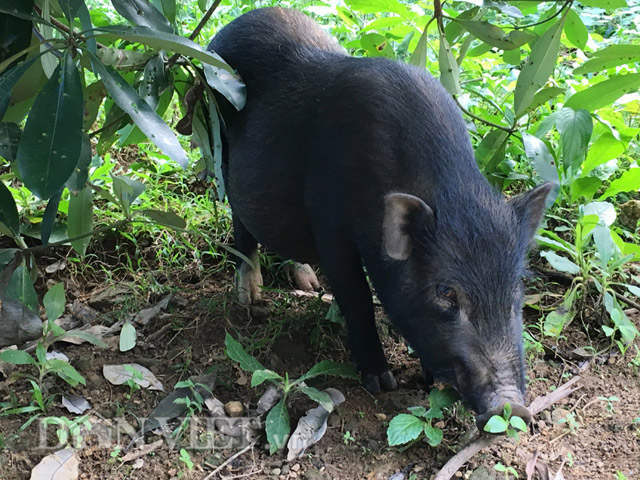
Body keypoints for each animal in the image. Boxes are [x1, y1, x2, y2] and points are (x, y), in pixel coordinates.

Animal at [209, 7, 552, 428]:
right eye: (446, 293)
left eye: (518, 286)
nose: (513, 407)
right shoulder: (328, 221)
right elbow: (356, 296)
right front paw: (381, 382)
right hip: (219, 141)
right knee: (240, 217)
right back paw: (249, 296)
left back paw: (306, 281)